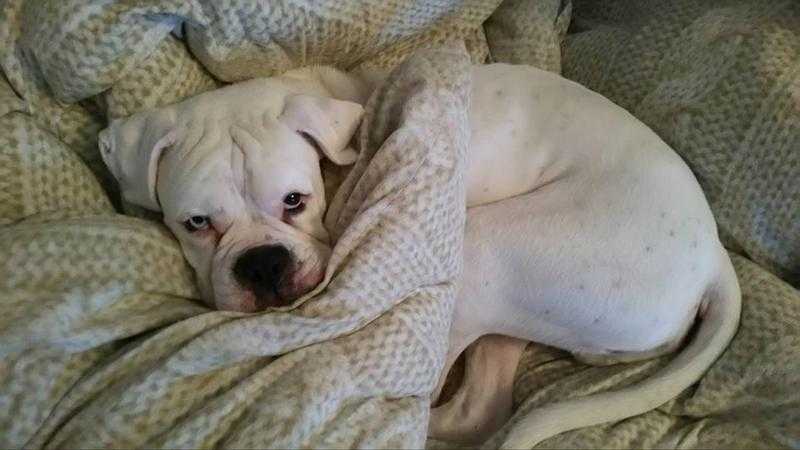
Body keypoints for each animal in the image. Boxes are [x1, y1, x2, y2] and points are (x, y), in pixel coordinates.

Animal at [100, 62, 744, 446]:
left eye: (294, 200)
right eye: (196, 223)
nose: (262, 265)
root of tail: (715, 261)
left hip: (482, 248)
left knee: (439, 396)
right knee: (482, 404)